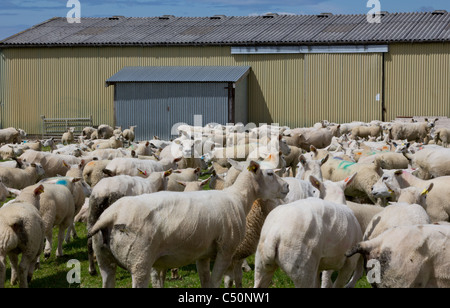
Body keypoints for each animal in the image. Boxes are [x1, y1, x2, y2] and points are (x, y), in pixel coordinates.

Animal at [88, 161, 290, 288]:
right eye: (270, 173)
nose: (287, 186)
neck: (238, 198)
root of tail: (112, 215)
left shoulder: (203, 255)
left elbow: (206, 282)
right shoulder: (226, 250)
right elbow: (217, 282)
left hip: (105, 261)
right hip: (139, 262)